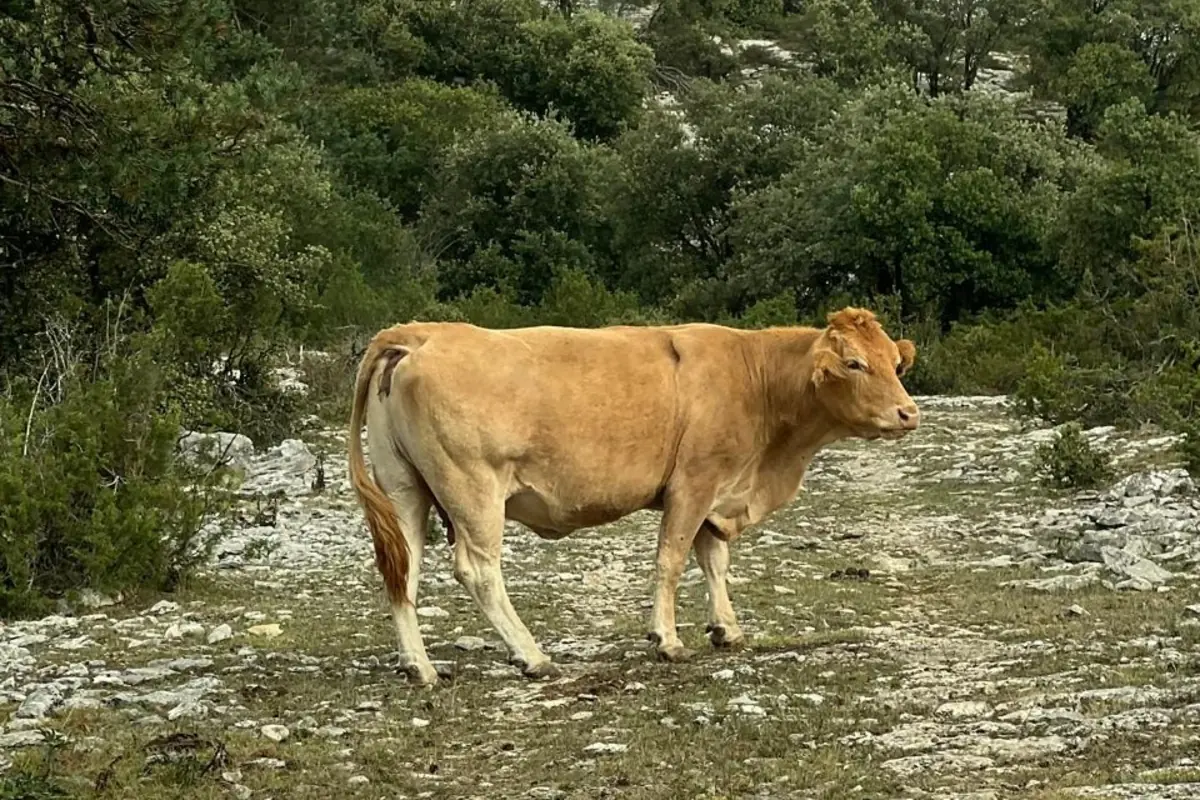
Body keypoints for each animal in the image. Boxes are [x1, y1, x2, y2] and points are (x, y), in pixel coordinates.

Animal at [348, 307, 919, 686]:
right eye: (854, 364)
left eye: (895, 362)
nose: (908, 413)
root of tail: (419, 333)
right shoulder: (693, 484)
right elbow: (672, 560)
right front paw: (667, 639)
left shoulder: (717, 493)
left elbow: (714, 561)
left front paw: (727, 628)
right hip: (473, 489)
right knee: (479, 570)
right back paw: (531, 654)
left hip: (406, 489)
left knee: (402, 570)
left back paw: (419, 666)